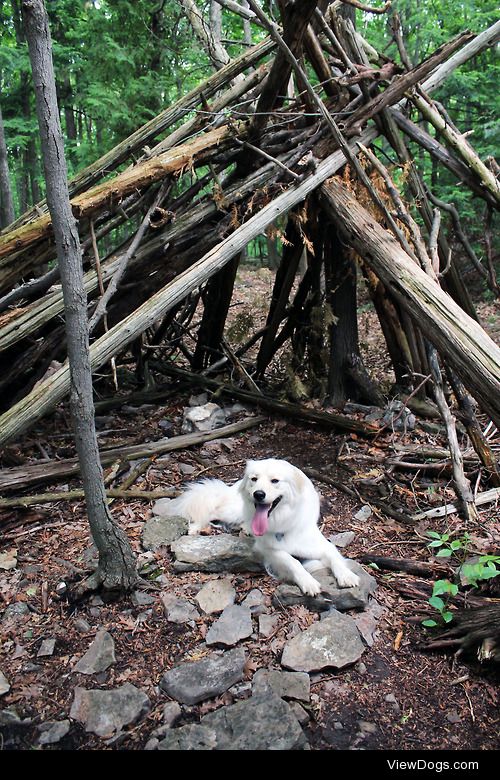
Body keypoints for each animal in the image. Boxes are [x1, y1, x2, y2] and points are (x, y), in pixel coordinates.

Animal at [162, 458, 358, 596]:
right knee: (212, 510)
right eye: (254, 479)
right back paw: (195, 528)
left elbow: (334, 557)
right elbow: (292, 560)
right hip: (232, 510)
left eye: (275, 481)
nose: (258, 494)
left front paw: (347, 576)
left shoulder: (321, 544)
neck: (282, 521)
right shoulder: (268, 549)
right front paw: (307, 582)